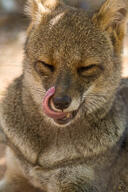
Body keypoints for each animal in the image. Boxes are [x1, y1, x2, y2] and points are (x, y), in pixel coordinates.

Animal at [0, 0, 128, 191]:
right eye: (46, 64)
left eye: (86, 68)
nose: (60, 102)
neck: (43, 153)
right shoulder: (16, 173)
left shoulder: (77, 183)